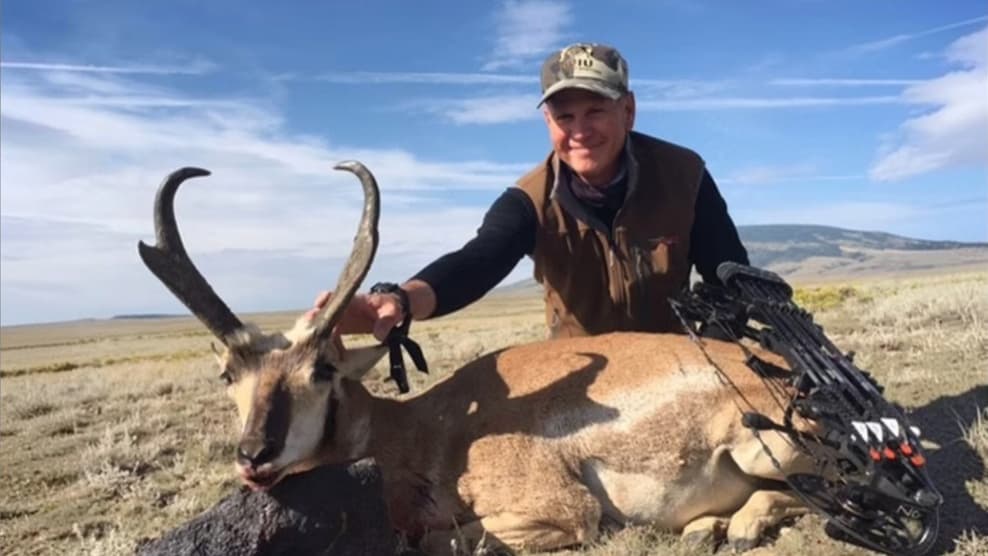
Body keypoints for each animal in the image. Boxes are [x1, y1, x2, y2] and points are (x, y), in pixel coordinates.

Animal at [138, 162, 815, 554]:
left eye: (322, 369)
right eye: (229, 374)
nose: (254, 455)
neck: (414, 429)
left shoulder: (563, 515)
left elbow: (450, 542)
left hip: (767, 449)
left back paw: (735, 525)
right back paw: (709, 528)